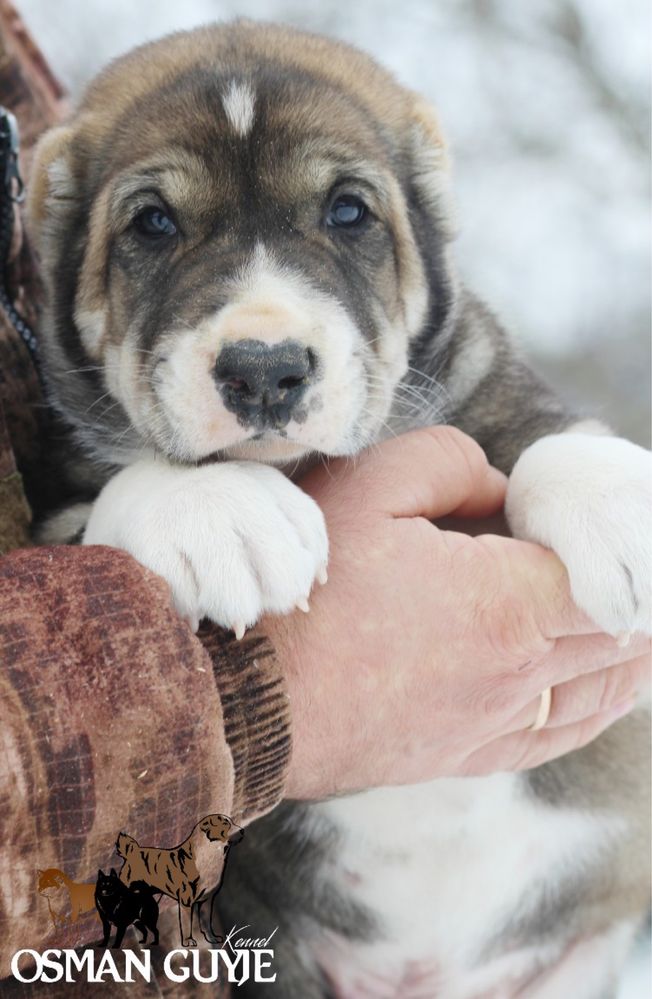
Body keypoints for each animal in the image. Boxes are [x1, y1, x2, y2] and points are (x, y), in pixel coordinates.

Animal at [29, 17, 652, 999]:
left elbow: (545, 433)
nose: (263, 368)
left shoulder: (483, 385)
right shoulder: (56, 497)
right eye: (153, 223)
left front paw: (618, 502)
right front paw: (216, 508)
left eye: (349, 213)